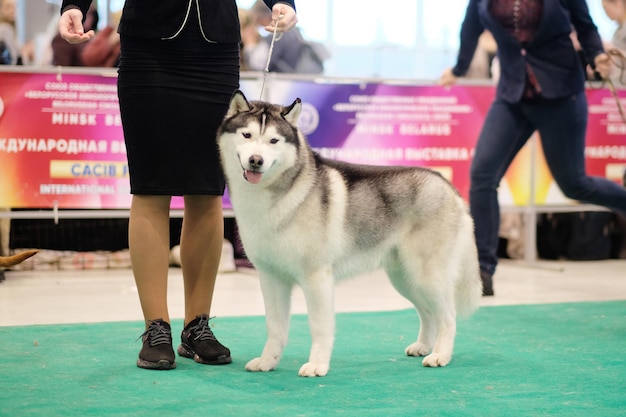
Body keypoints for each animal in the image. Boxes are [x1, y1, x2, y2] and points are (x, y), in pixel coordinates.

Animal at [217, 91, 480, 376]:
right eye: (247, 135)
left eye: (273, 140)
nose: (256, 160)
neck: (277, 196)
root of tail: (448, 186)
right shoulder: (271, 277)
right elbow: (274, 327)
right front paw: (268, 361)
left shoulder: (317, 278)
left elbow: (319, 327)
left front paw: (317, 365)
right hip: (405, 278)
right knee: (429, 313)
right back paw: (423, 346)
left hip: (427, 275)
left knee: (448, 316)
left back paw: (440, 355)